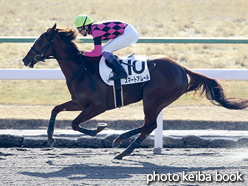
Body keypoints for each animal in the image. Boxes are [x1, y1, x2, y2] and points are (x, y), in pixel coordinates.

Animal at [22, 23, 248, 160]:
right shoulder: (78, 102)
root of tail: (182, 68)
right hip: (157, 101)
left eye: (40, 41)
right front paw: (50, 138)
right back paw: (120, 140)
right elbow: (55, 109)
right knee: (149, 125)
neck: (82, 69)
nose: (25, 60)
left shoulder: (97, 106)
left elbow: (75, 124)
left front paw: (98, 129)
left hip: (152, 98)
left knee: (149, 125)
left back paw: (123, 151)